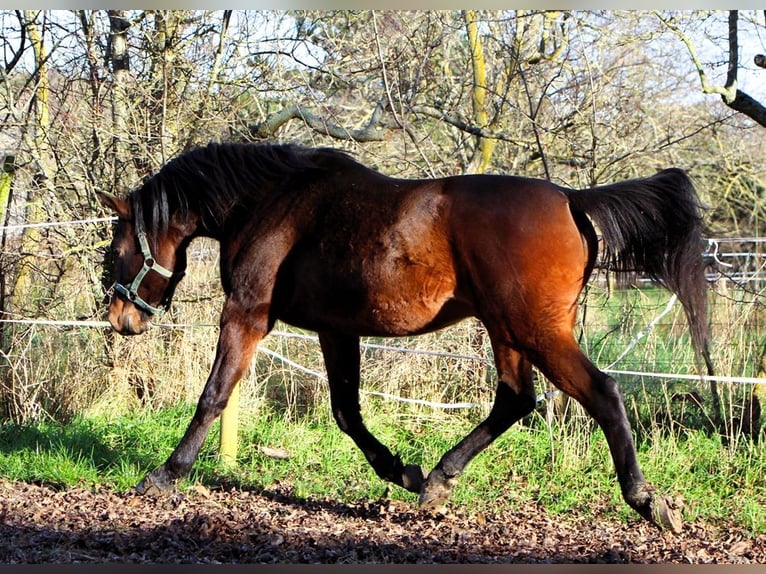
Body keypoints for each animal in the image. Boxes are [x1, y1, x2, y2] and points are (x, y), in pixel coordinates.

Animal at [99, 143, 716, 536]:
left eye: (116, 247)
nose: (120, 319)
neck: (274, 201)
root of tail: (571, 198)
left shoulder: (247, 314)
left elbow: (214, 396)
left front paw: (164, 476)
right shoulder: (337, 329)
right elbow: (347, 412)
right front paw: (402, 470)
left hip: (535, 330)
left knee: (602, 392)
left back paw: (647, 501)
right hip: (507, 331)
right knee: (515, 399)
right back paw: (438, 480)